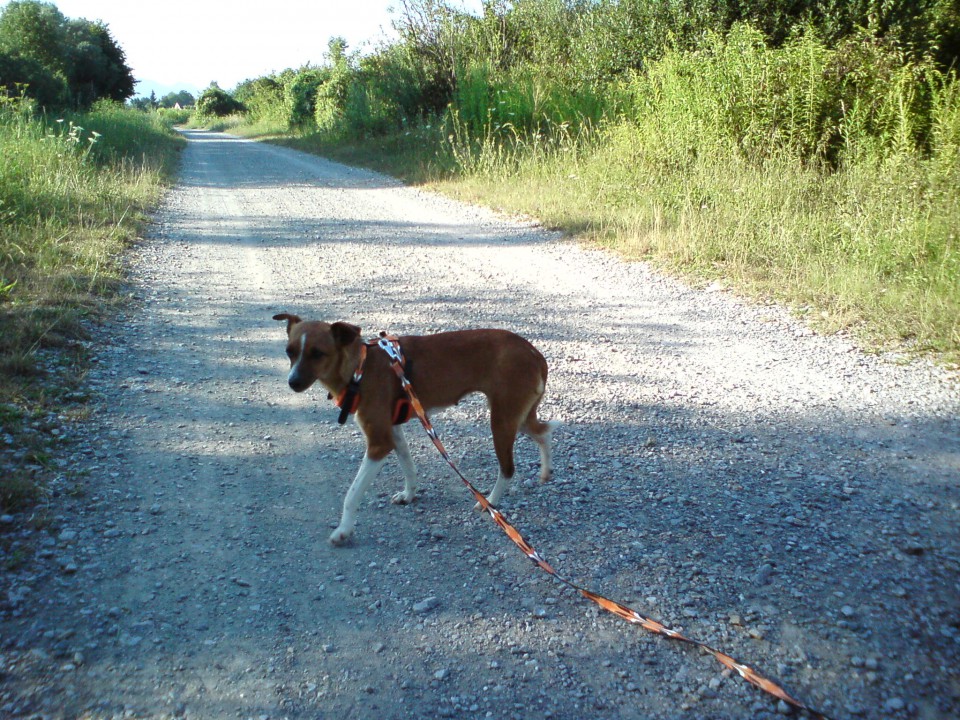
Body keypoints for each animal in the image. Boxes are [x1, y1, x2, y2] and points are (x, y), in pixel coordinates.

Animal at [272, 312, 556, 544]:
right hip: (517, 417)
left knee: (508, 469)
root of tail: (533, 351)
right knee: (544, 432)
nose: (292, 382)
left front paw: (343, 531)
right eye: (289, 351)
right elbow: (409, 466)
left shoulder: (379, 442)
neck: (359, 368)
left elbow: (352, 494)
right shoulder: (393, 432)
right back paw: (545, 471)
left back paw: (491, 502)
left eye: (318, 353)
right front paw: (409, 495)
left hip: (501, 420)